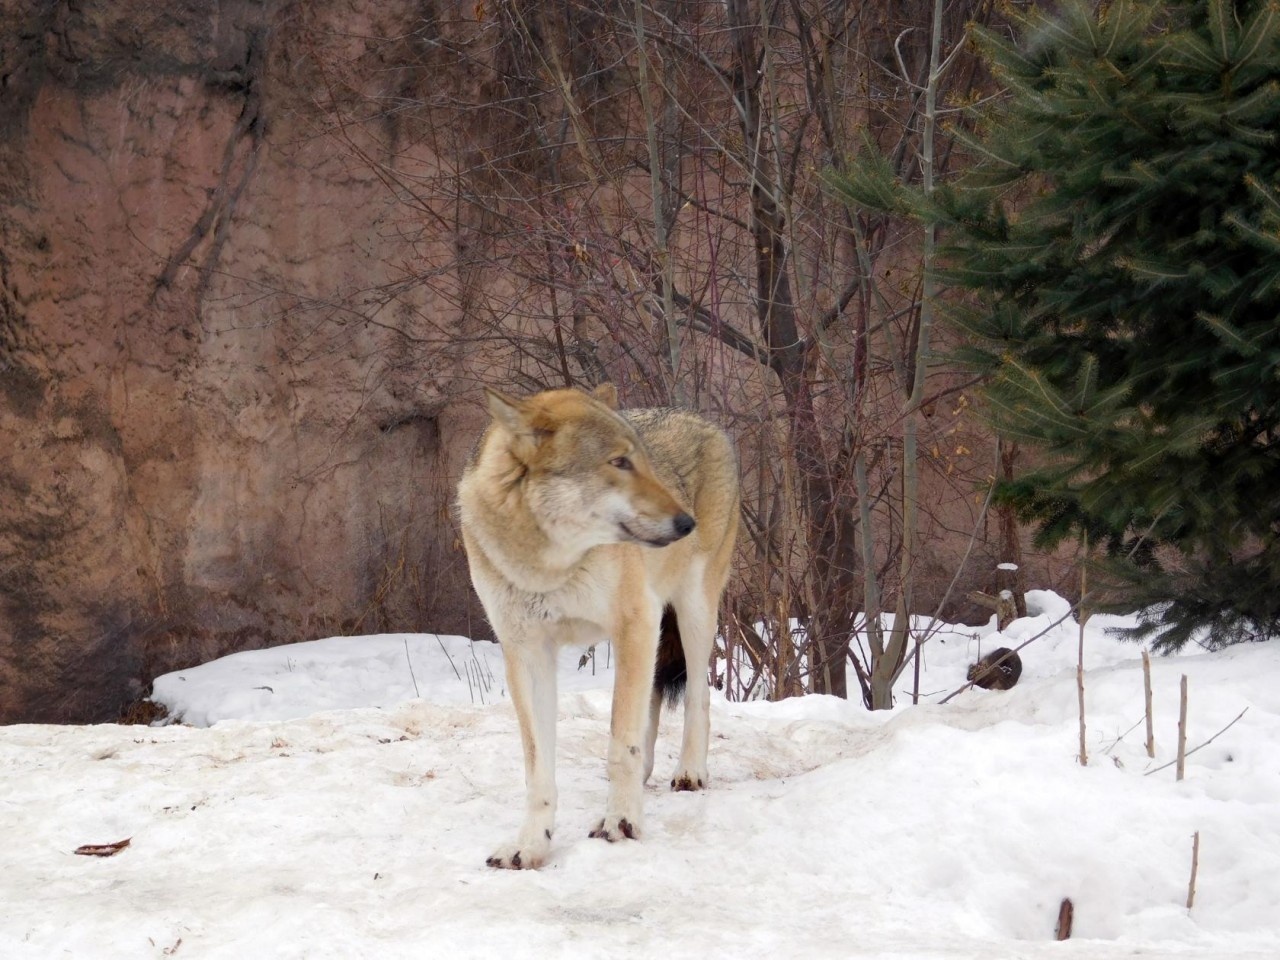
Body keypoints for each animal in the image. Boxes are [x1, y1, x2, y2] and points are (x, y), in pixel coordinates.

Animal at [458, 386, 742, 870]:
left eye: (641, 460)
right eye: (619, 462)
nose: (687, 523)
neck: (549, 566)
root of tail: (701, 419)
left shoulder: (636, 621)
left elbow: (619, 743)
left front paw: (620, 823)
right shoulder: (527, 651)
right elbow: (538, 768)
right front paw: (531, 844)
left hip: (692, 612)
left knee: (698, 697)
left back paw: (689, 771)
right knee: (651, 703)